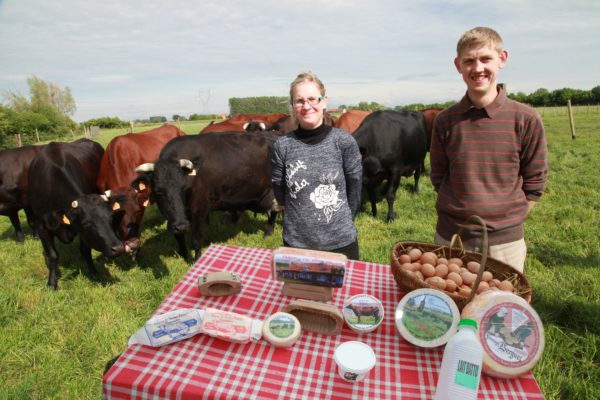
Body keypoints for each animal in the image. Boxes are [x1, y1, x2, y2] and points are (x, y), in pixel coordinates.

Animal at [29, 139, 126, 290]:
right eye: (86, 223)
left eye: (110, 218)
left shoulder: (82, 233)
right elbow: (52, 256)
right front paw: (52, 283)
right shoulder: (42, 227)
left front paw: (93, 272)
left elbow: (86, 250)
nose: (119, 248)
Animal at [133, 131, 282, 260]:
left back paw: (268, 234)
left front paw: (196, 260)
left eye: (183, 188)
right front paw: (183, 255)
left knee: (274, 212)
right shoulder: (172, 216)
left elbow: (197, 239)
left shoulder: (200, 209)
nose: (182, 225)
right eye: (158, 192)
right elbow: (179, 237)